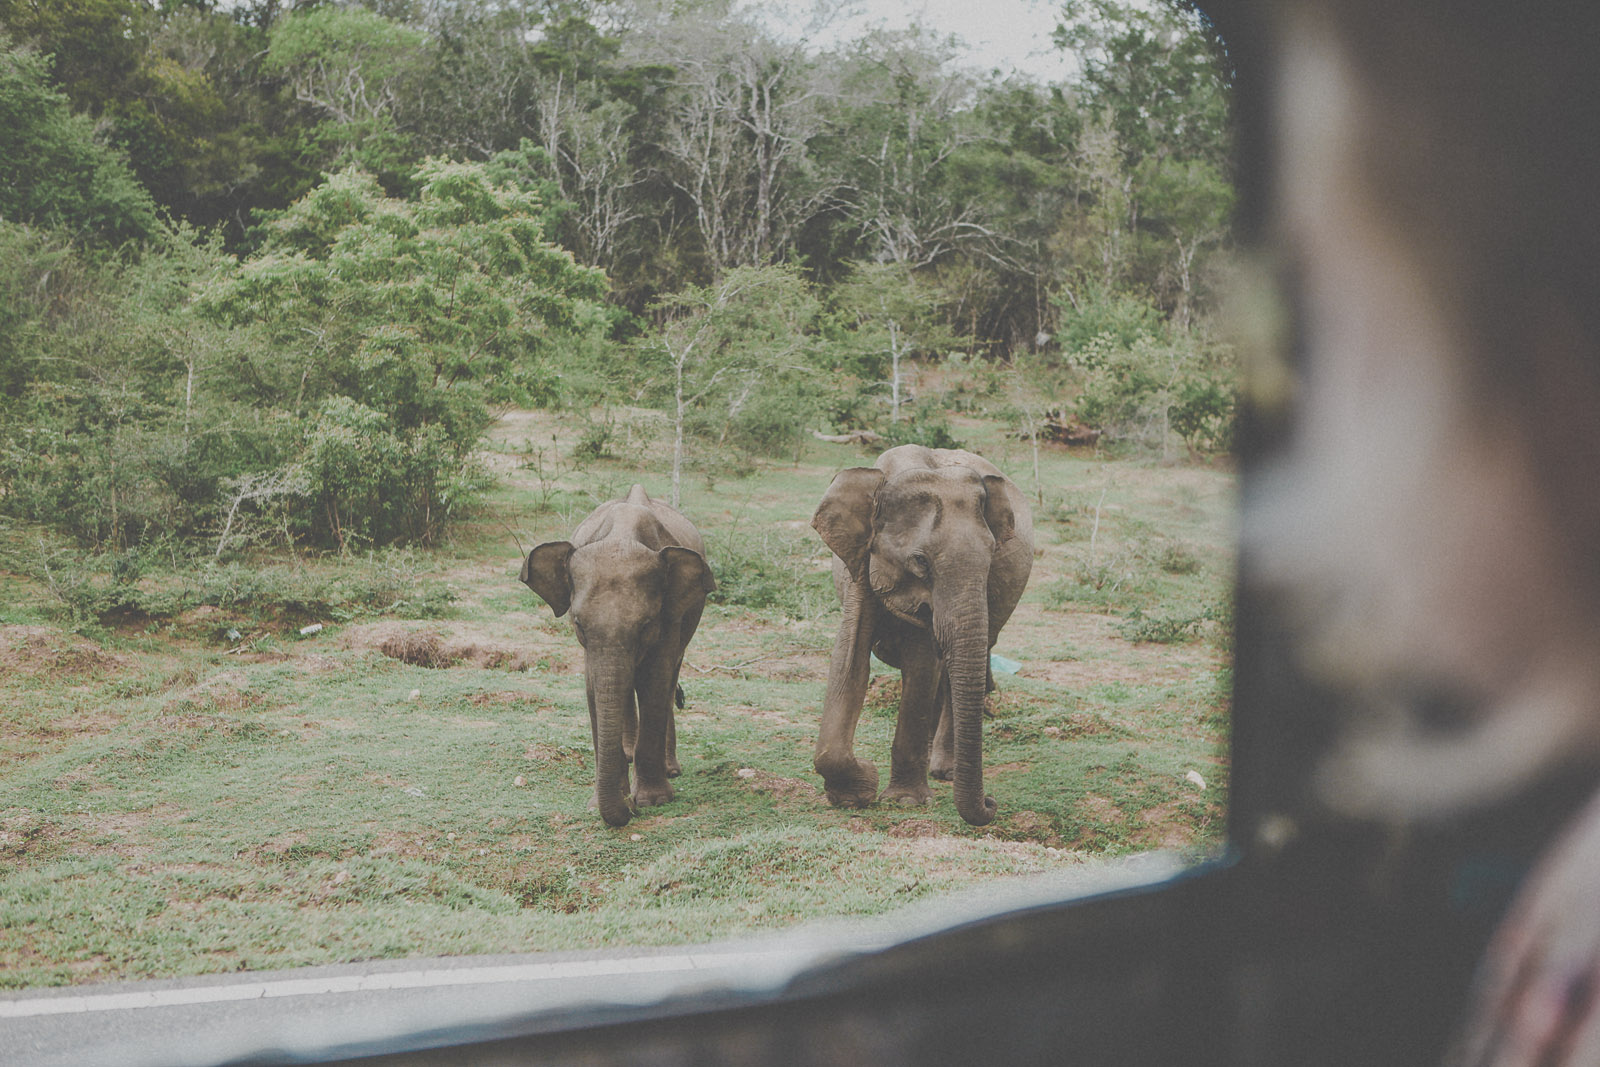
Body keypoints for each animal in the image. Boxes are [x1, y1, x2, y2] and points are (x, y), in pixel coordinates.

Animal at [518, 483, 713, 825]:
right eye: (578, 624)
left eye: (646, 625)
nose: (629, 807)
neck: (622, 534)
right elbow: (594, 688)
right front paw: (600, 804)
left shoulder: (670, 615)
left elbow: (655, 682)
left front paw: (653, 801)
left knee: (668, 678)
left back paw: (669, 769)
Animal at [812, 441, 1036, 825]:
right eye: (920, 561)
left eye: (993, 556)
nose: (991, 802)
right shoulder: (860, 564)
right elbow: (849, 660)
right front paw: (855, 795)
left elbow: (921, 667)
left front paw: (904, 801)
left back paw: (945, 771)